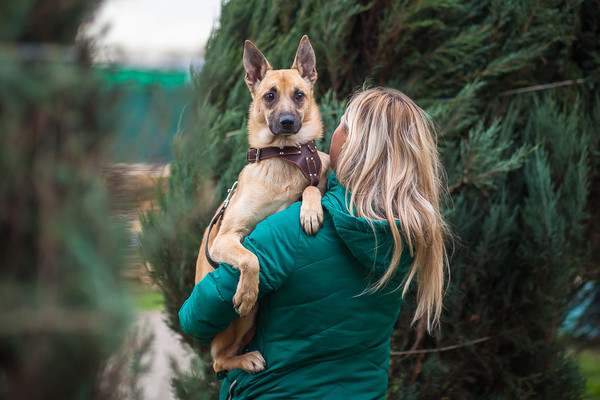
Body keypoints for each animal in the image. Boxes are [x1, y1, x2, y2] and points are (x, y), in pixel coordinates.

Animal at [195, 35, 330, 376]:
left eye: (299, 95)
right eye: (269, 96)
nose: (287, 122)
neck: (284, 157)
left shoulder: (316, 174)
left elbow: (312, 188)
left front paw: (310, 210)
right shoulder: (226, 238)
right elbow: (251, 258)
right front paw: (245, 291)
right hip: (243, 321)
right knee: (219, 361)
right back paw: (246, 358)